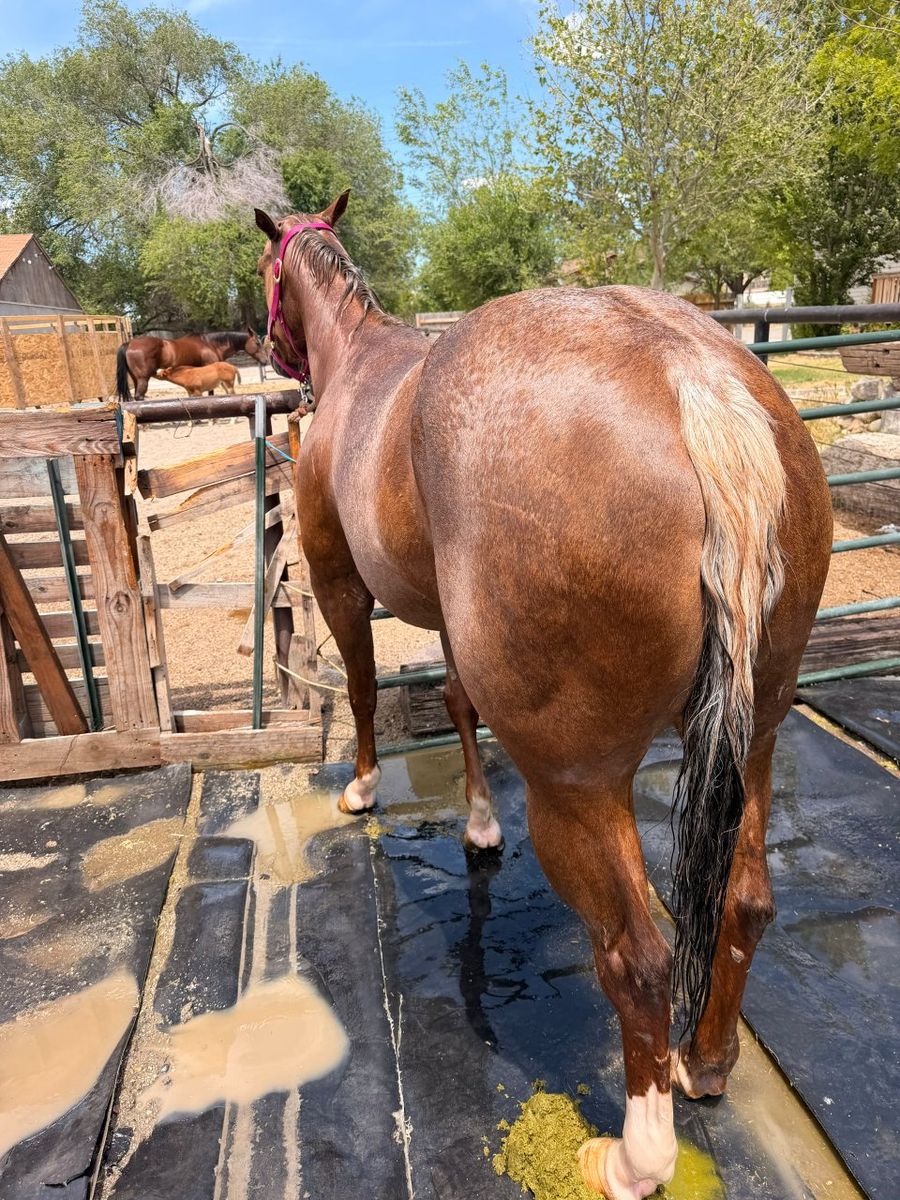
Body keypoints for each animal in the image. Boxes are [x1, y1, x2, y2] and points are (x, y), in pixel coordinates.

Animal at [116, 329, 267, 401]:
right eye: (257, 343)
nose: (265, 361)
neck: (210, 344)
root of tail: (130, 344)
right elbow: (211, 393)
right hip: (143, 379)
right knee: (139, 397)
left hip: (136, 379)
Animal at [254, 191, 832, 1199]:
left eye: (265, 278)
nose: (263, 345)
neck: (362, 367)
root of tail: (692, 376)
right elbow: (456, 702)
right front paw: (480, 822)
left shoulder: (337, 585)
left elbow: (363, 688)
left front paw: (362, 785)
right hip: (756, 736)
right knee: (745, 900)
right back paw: (705, 1062)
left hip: (579, 789)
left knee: (638, 958)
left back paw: (635, 1158)